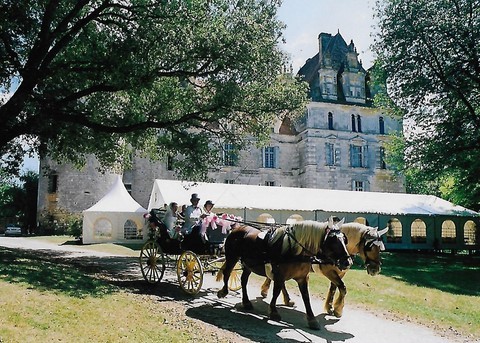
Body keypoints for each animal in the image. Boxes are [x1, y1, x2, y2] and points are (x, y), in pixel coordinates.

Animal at [216, 218, 350, 330]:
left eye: (344, 239)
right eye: (333, 240)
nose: (347, 262)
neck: (295, 250)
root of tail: (237, 229)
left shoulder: (302, 278)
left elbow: (306, 297)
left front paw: (312, 320)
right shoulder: (279, 275)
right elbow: (276, 291)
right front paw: (274, 311)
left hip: (248, 264)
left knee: (244, 280)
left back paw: (246, 302)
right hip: (232, 257)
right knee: (227, 273)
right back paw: (223, 291)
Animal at [260, 223, 388, 318]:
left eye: (380, 247)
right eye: (370, 247)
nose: (375, 269)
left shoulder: (340, 273)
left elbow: (334, 288)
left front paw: (330, 306)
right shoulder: (329, 272)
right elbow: (342, 288)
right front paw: (338, 309)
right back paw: (269, 292)